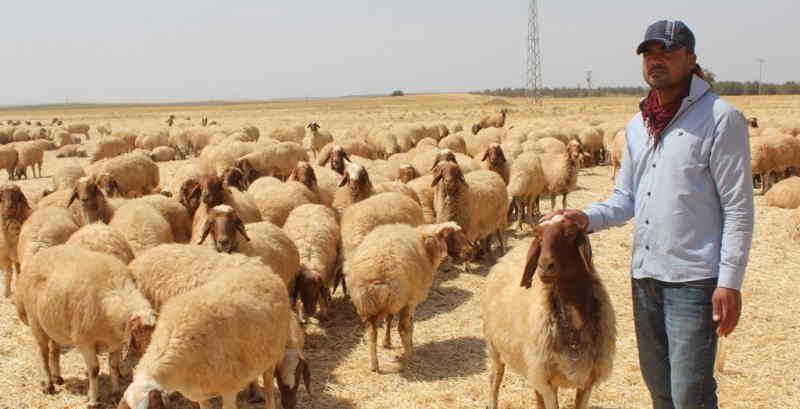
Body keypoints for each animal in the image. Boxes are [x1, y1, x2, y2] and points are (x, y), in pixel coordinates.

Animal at [16, 244, 157, 406]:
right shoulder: (85, 342)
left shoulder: (116, 343)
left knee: (54, 349)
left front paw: (115, 393)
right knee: (43, 352)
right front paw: (93, 399)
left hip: (53, 323)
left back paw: (57, 378)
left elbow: (114, 367)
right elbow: (94, 369)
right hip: (36, 323)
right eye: (138, 332)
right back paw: (48, 385)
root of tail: (37, 257)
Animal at [346, 222, 472, 372]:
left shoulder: (393, 304)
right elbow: (409, 325)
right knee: (403, 327)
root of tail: (378, 276)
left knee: (372, 333)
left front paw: (387, 343)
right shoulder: (411, 299)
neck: (426, 245)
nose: (470, 252)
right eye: (452, 236)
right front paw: (407, 345)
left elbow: (389, 319)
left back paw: (374, 365)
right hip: (403, 299)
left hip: (369, 306)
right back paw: (409, 357)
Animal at [482, 214, 620, 408]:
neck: (575, 321)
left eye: (570, 234)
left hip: (531, 364)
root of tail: (507, 256)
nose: (545, 266)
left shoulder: (587, 381)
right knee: (495, 377)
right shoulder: (547, 381)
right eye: (539, 236)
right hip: (495, 346)